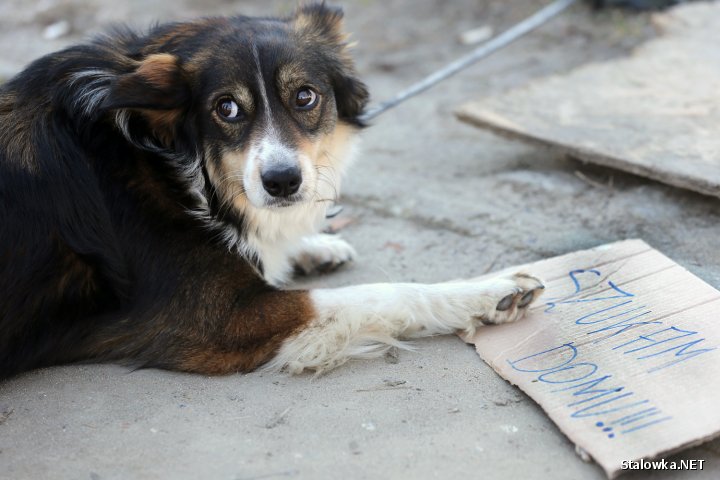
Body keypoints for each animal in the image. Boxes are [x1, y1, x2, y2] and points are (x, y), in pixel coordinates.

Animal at [0, 1, 544, 380]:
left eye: (305, 96)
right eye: (225, 108)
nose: (282, 182)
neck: (167, 155)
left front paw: (308, 246)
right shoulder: (217, 321)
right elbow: (382, 293)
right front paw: (487, 291)